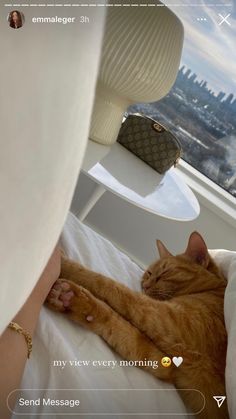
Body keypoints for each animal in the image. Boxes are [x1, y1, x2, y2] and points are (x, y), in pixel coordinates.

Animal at [46, 231, 229, 418]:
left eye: (165, 272)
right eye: (148, 273)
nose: (145, 286)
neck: (210, 290)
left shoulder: (166, 320)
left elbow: (108, 284)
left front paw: (62, 263)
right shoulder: (169, 364)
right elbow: (119, 327)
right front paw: (71, 299)